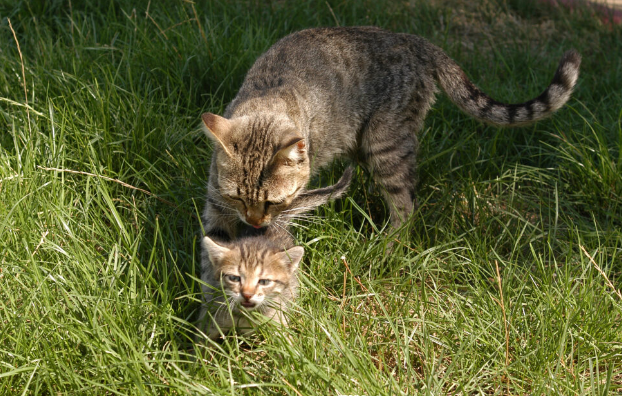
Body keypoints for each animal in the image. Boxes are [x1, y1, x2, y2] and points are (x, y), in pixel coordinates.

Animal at [202, 27, 584, 238]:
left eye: (273, 201)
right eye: (238, 197)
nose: (253, 223)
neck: (267, 100)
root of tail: (413, 40)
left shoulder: (291, 205)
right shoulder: (216, 200)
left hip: (384, 144)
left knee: (406, 206)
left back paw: (386, 249)